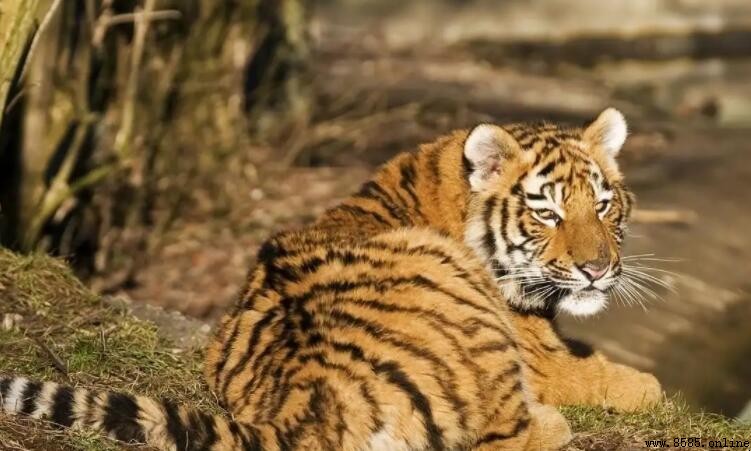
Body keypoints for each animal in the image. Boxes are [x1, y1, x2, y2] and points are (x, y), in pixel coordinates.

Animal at [0, 108, 662, 450]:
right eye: (547, 213)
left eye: (603, 206)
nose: (597, 269)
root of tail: (315, 394)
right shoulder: (544, 357)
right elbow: (611, 376)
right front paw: (649, 387)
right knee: (509, 433)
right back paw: (555, 425)